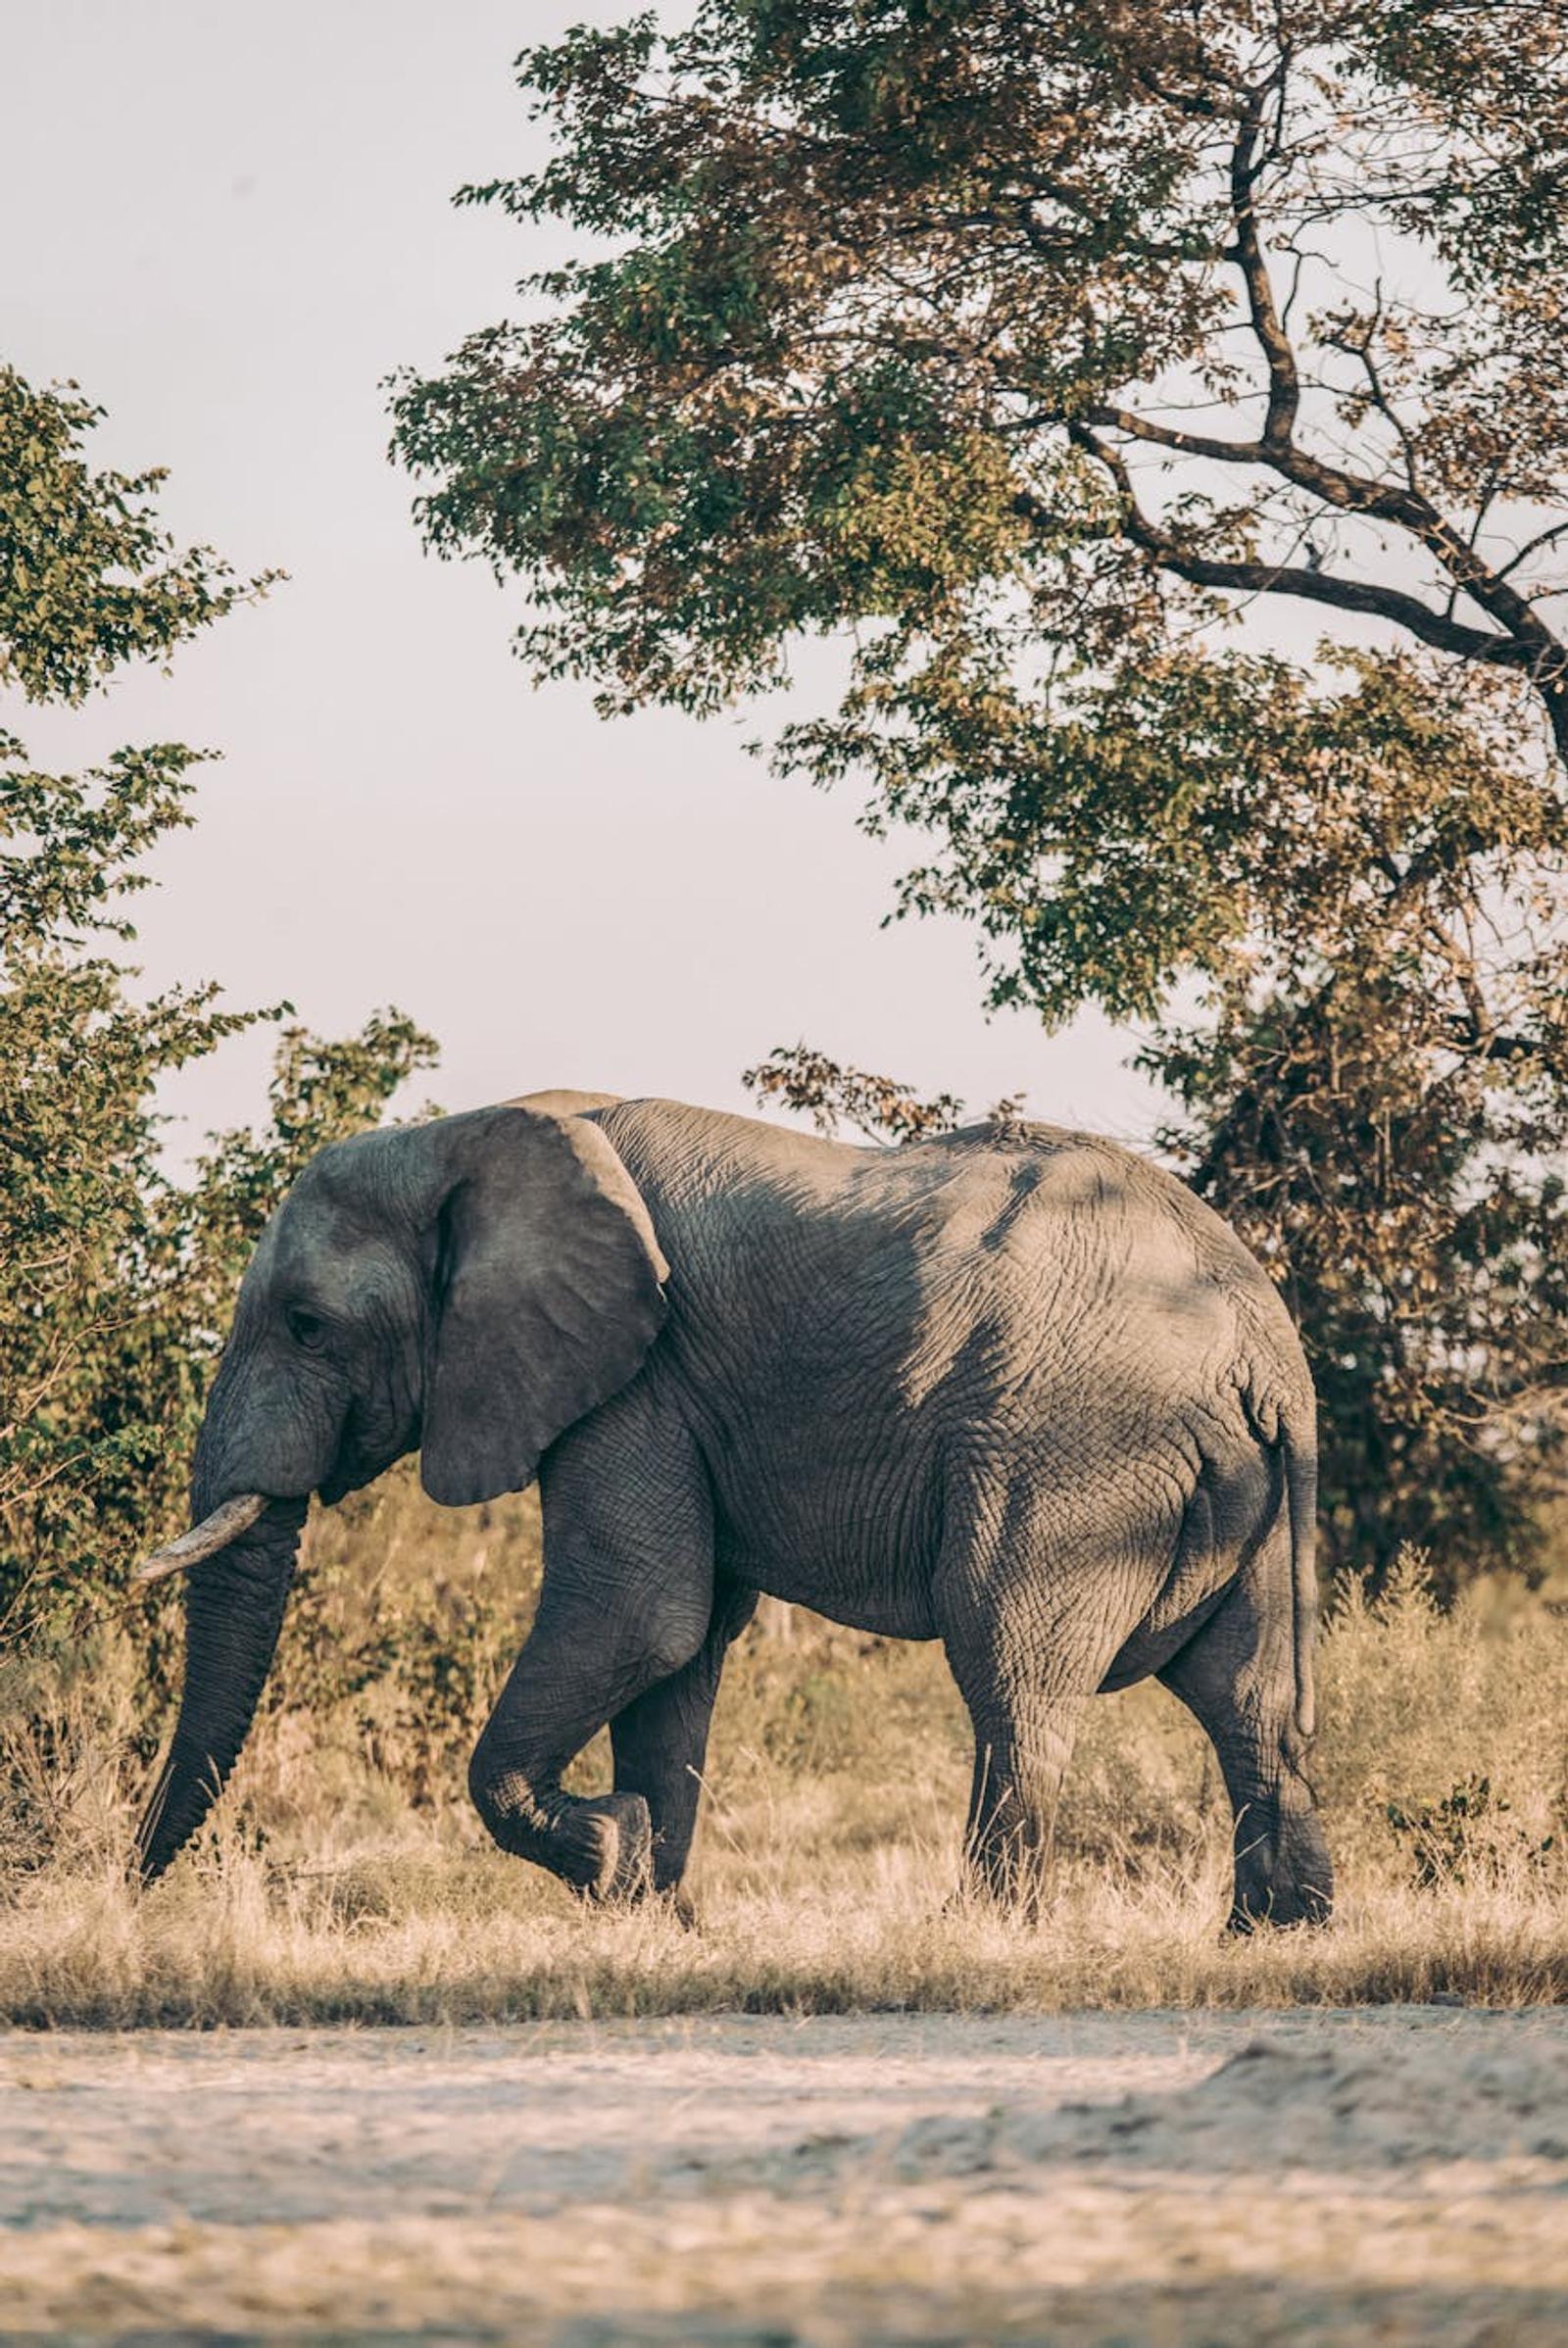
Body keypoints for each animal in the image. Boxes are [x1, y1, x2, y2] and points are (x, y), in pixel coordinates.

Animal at [134, 1089, 1332, 1928]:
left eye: (306, 1325)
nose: (134, 1893)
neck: (466, 1135)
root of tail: (1260, 1342)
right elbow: (680, 1651)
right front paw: (653, 1914)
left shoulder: (637, 1378)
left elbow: (640, 1614)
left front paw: (611, 1854)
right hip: (1238, 1486)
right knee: (1247, 1694)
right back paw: (1273, 1936)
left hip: (1069, 1443)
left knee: (1011, 1670)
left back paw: (983, 1933)